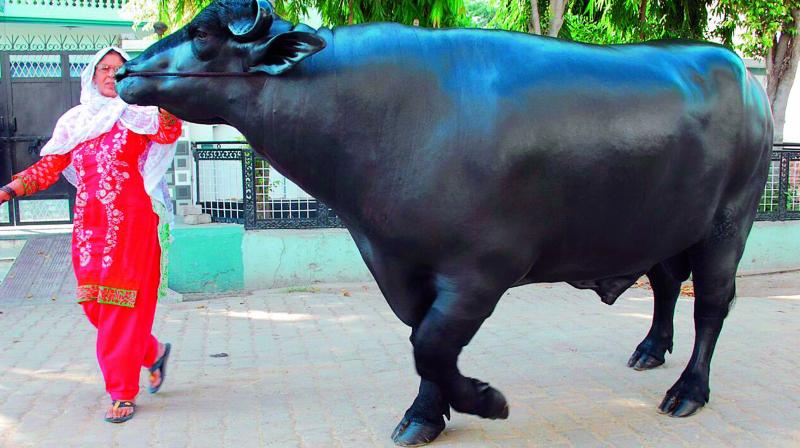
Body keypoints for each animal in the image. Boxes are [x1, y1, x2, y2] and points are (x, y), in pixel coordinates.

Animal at [115, 0, 772, 444]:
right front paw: (424, 417)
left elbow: (432, 345)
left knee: (713, 303)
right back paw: (649, 350)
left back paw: (687, 391)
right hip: (661, 226)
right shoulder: (399, 263)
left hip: (728, 223)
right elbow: (421, 340)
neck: (388, 117)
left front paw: (488, 400)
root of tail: (743, 73)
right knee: (664, 282)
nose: (123, 70)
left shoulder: (481, 271)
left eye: (203, 35)